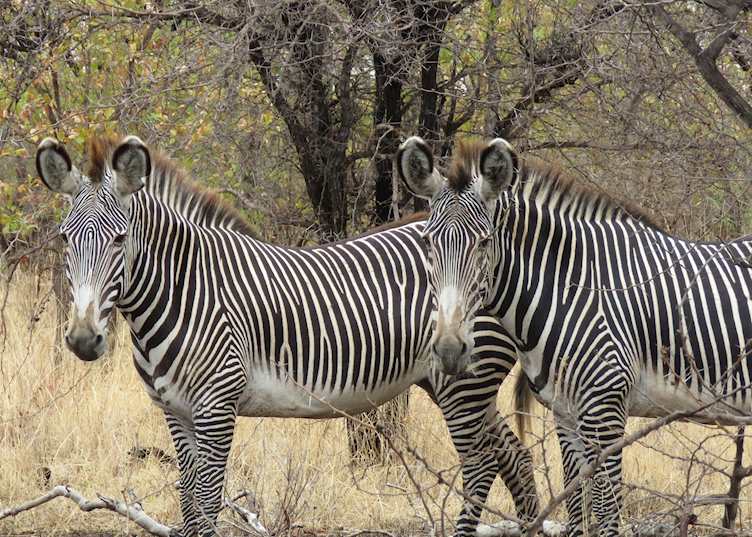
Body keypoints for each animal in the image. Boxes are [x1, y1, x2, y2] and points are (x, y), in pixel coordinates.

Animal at [34, 134, 540, 537]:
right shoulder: (174, 411)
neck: (184, 290)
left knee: (482, 464)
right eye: (64, 239)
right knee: (514, 456)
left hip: (464, 380)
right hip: (453, 381)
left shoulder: (217, 406)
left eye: (119, 240)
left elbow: (208, 501)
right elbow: (189, 501)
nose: (83, 340)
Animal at [397, 135, 752, 537]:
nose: (449, 350)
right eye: (428, 243)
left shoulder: (605, 407)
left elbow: (607, 508)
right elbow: (576, 506)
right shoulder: (565, 413)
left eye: (484, 243)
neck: (571, 291)